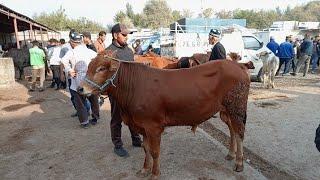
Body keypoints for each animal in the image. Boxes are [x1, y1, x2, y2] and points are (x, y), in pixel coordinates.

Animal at [81, 50, 251, 179]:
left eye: (101, 68)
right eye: (89, 66)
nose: (80, 88)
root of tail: (238, 65)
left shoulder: (153, 126)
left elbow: (155, 151)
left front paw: (155, 173)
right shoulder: (142, 125)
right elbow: (145, 148)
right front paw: (145, 168)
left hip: (237, 108)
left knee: (240, 133)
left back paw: (239, 163)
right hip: (226, 110)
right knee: (232, 130)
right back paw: (231, 154)